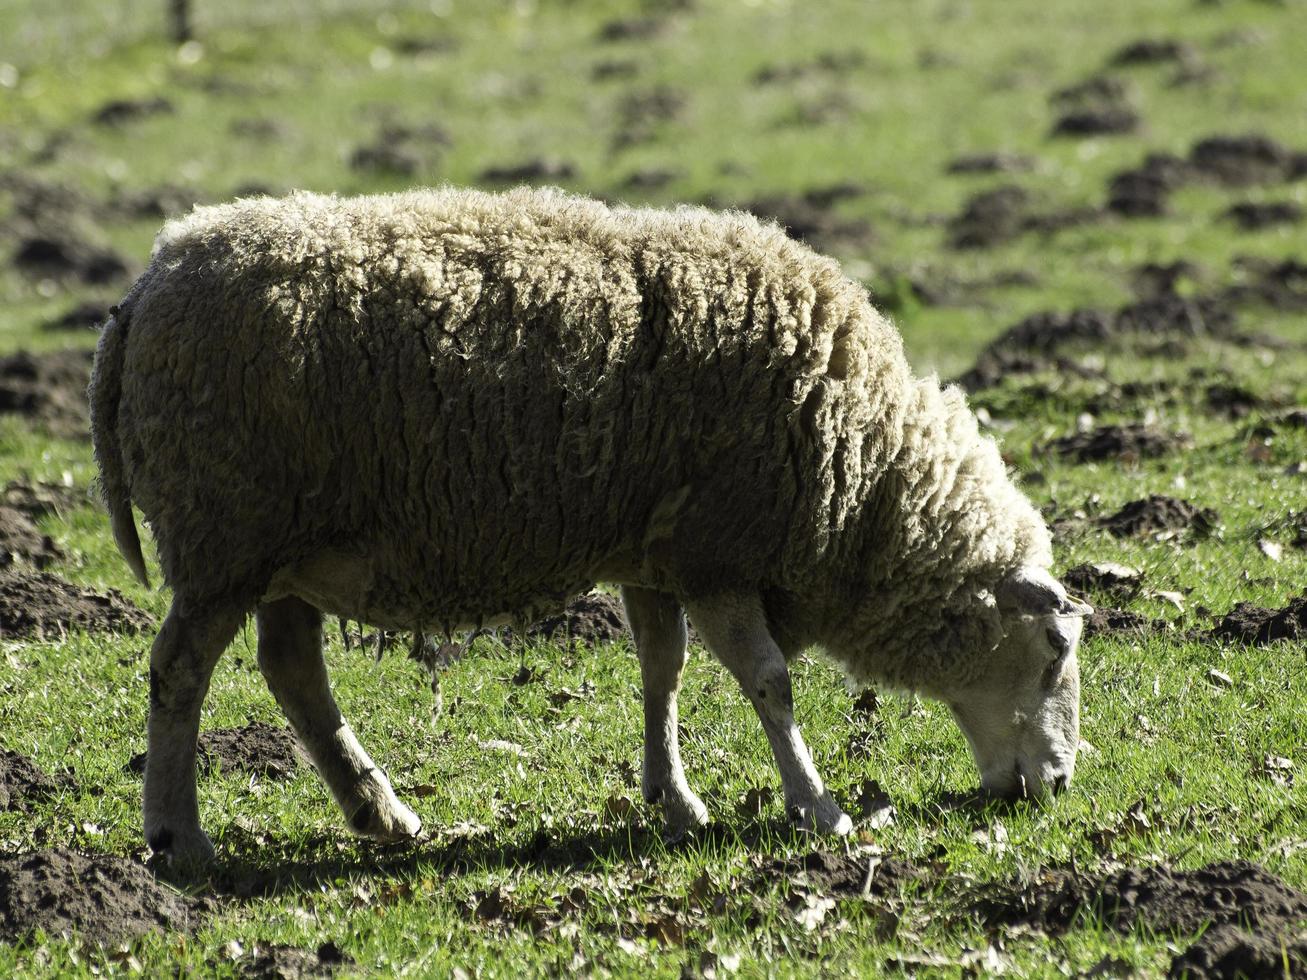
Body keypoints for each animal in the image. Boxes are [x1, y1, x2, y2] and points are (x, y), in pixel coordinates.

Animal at [92, 185, 1087, 867]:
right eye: (1054, 650)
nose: (1056, 784)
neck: (865, 477)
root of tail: (147, 282)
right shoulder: (719, 552)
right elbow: (768, 683)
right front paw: (817, 807)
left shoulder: (656, 551)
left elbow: (662, 670)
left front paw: (673, 798)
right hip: (223, 535)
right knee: (179, 673)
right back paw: (179, 837)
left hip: (286, 550)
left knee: (292, 671)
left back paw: (381, 813)